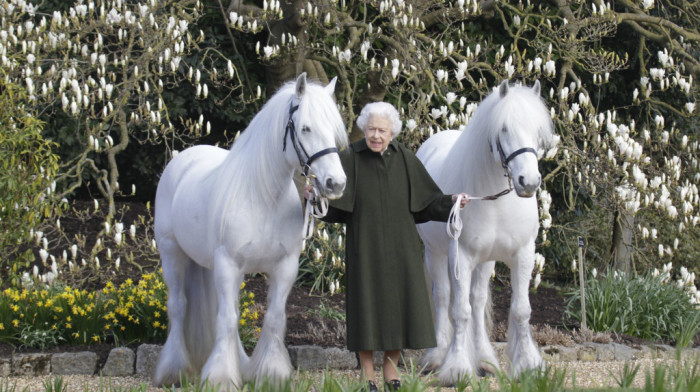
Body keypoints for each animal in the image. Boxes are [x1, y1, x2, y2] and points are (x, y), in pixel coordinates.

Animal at [154, 73, 348, 388]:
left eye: (333, 130)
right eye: (305, 128)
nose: (336, 183)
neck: (263, 198)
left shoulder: (285, 267)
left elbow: (273, 318)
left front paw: (271, 373)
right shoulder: (228, 264)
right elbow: (227, 320)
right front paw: (220, 378)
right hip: (172, 254)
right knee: (179, 306)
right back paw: (174, 370)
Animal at [416, 80, 556, 386]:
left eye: (537, 130)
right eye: (503, 128)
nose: (529, 182)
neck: (495, 200)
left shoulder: (523, 254)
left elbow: (520, 310)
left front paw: (528, 366)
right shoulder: (461, 256)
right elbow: (460, 311)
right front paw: (456, 368)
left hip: (486, 261)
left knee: (478, 301)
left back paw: (484, 359)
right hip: (436, 253)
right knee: (443, 296)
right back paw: (437, 356)